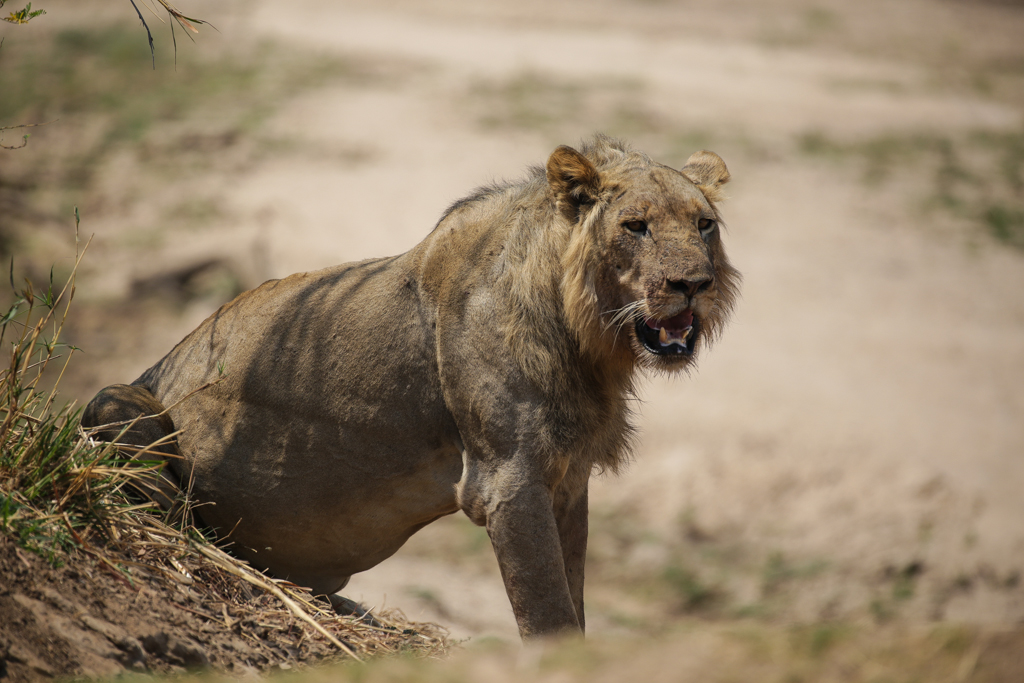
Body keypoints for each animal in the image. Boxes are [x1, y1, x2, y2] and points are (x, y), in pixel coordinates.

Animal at [79, 135, 737, 643]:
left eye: (704, 225)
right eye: (636, 226)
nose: (693, 284)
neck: (588, 339)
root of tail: (156, 366)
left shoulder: (569, 478)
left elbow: (572, 599)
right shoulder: (508, 479)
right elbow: (548, 612)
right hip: (112, 403)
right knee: (171, 508)